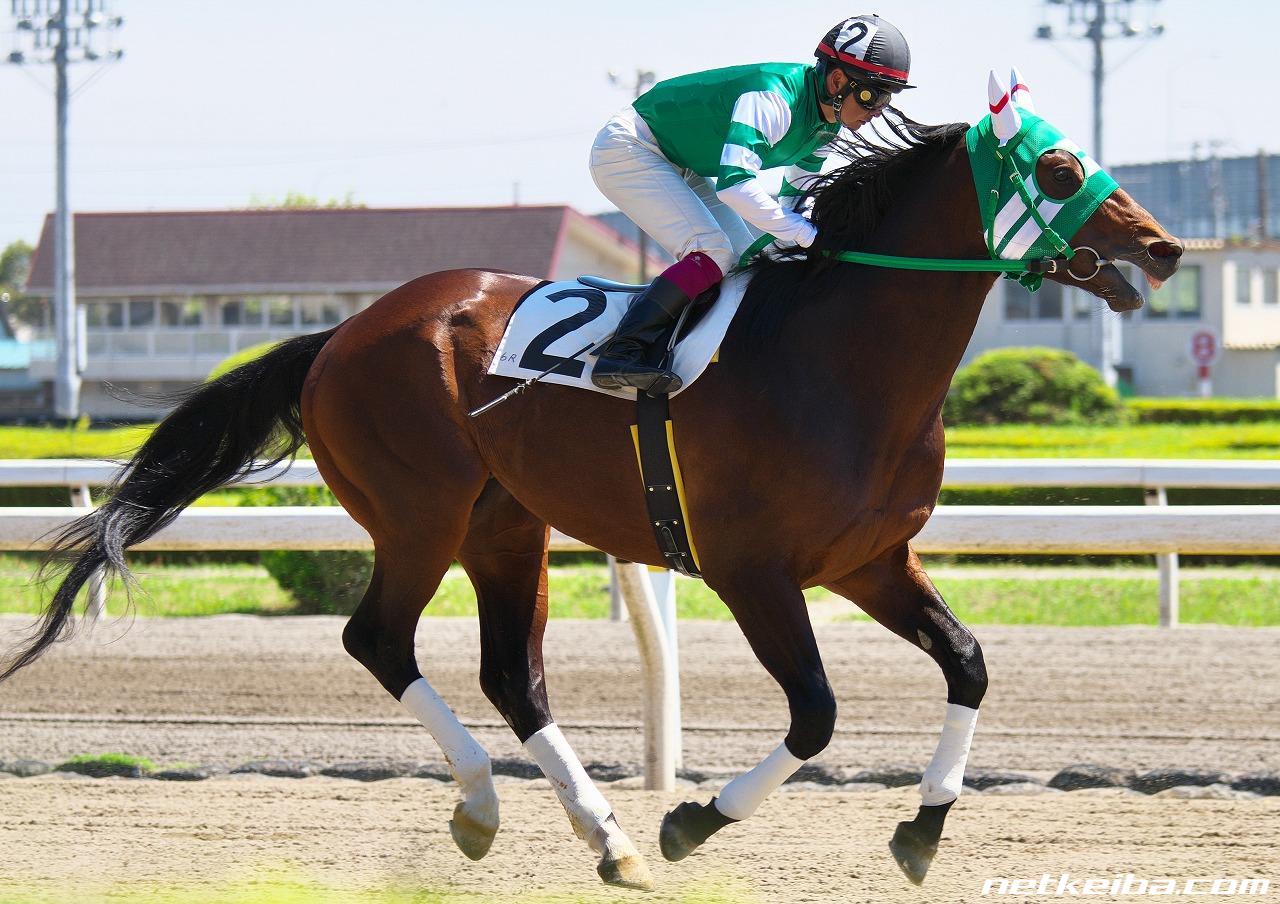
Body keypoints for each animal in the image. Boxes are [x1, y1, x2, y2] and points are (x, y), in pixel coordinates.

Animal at [2, 82, 1181, 891]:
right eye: (1061, 165)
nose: (1166, 247)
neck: (841, 361)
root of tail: (340, 333)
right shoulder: (751, 570)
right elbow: (813, 714)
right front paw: (693, 819)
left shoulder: (868, 561)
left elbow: (968, 663)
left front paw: (923, 827)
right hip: (419, 512)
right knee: (378, 639)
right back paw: (499, 805)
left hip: (504, 523)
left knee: (511, 675)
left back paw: (602, 838)